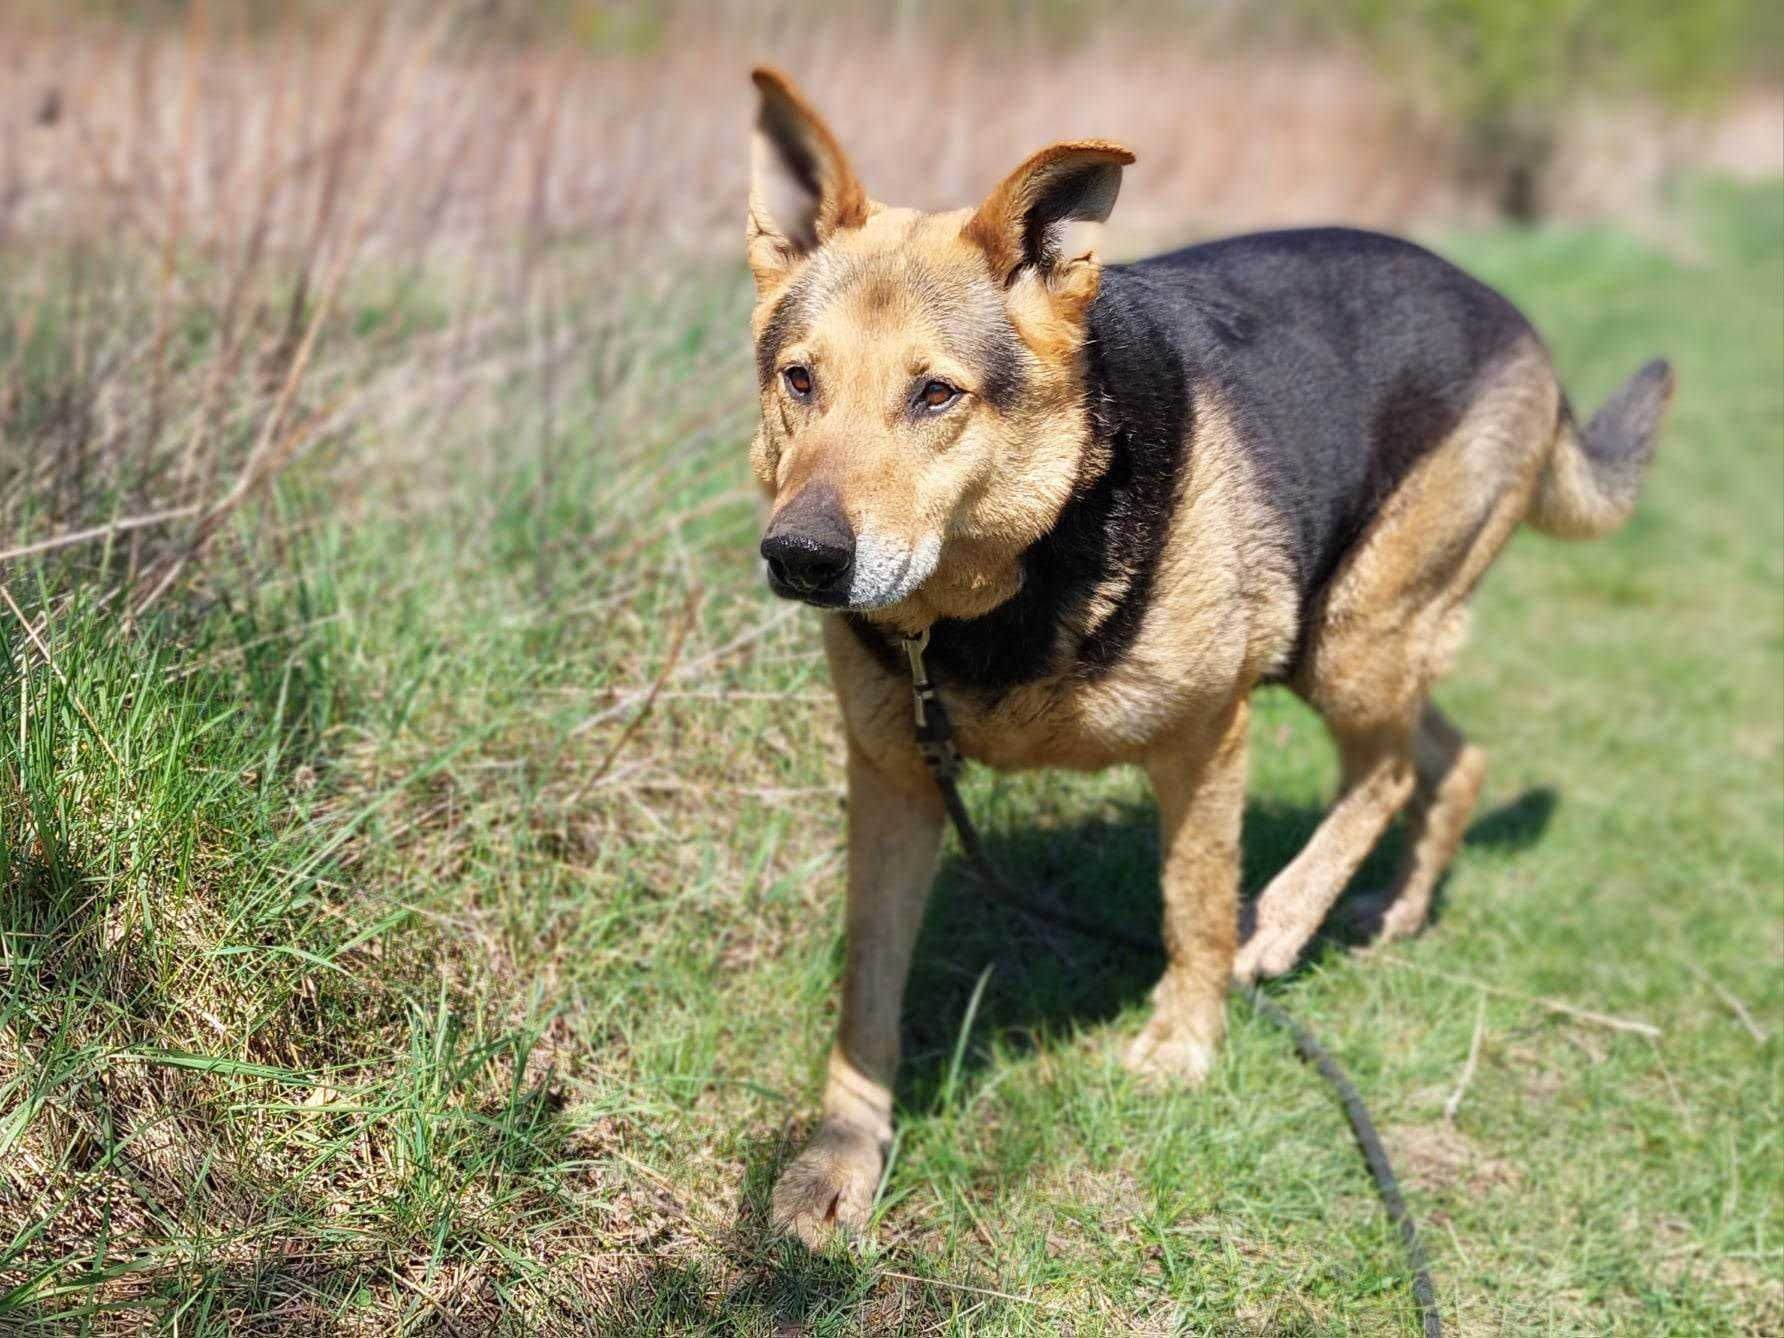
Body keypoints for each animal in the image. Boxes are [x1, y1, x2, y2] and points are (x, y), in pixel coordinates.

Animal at [738, 68, 1669, 1248]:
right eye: (799, 382)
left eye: (935, 394)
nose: (802, 558)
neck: (1011, 579)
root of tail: (1517, 325)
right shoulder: (894, 782)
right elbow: (868, 987)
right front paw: (841, 1155)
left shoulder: (1205, 738)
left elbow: (1190, 904)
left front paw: (1184, 1040)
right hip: (1352, 638)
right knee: (1452, 760)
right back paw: (1397, 910)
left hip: (1347, 640)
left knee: (1388, 773)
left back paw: (1277, 926)